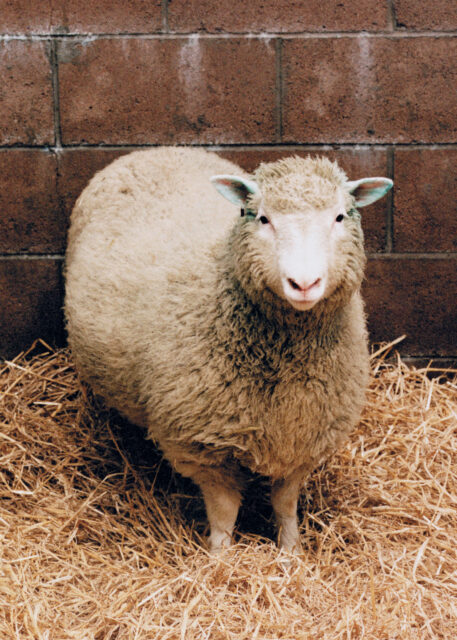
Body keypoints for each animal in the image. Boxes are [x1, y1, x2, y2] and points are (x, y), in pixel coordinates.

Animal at [64, 146, 392, 556]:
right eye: (263, 218)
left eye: (339, 216)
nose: (303, 283)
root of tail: (155, 149)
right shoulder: (204, 446)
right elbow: (224, 512)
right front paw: (220, 558)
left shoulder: (304, 437)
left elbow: (285, 504)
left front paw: (291, 553)